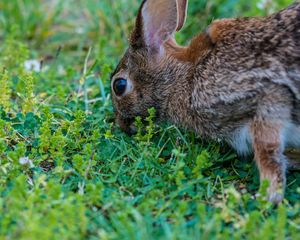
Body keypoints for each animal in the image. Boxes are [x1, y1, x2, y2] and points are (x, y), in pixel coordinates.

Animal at [110, 0, 300, 203]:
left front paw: (266, 197)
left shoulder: (268, 98)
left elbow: (268, 154)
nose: (121, 125)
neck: (184, 76)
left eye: (119, 86)